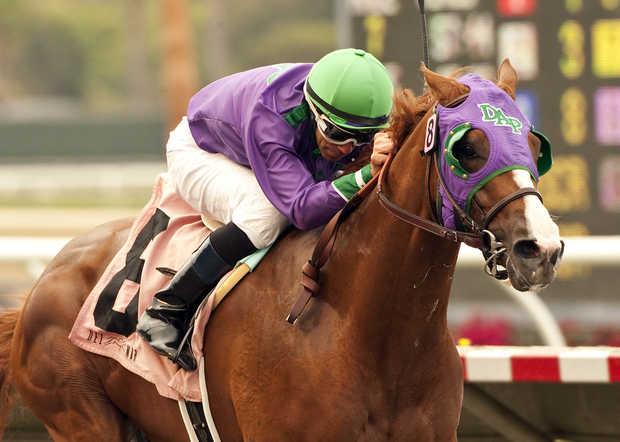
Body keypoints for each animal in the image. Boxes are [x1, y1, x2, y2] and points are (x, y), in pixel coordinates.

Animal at [0, 60, 560, 440]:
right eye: (468, 149)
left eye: (535, 148)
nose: (541, 248)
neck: (370, 332)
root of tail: (38, 286)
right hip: (82, 416)